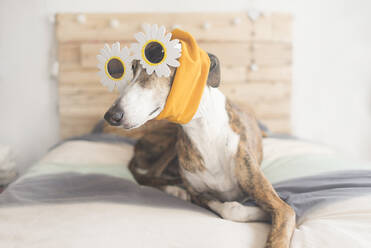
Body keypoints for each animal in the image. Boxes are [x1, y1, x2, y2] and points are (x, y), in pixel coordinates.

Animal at [104, 55, 296, 247]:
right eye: (133, 68)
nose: (110, 116)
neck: (205, 132)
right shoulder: (199, 195)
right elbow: (231, 209)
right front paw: (261, 212)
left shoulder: (279, 206)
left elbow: (282, 217)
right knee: (149, 176)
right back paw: (176, 190)